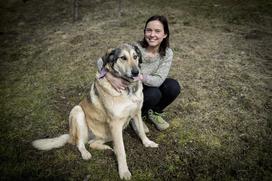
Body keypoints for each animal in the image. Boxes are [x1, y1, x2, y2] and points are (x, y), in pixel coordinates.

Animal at [32, 43, 158, 180]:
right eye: (123, 58)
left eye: (135, 56)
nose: (136, 72)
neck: (128, 89)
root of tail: (70, 135)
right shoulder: (115, 123)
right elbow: (121, 151)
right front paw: (124, 171)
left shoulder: (136, 113)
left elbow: (141, 131)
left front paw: (148, 143)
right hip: (78, 112)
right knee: (80, 143)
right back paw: (86, 154)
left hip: (107, 134)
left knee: (92, 144)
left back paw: (106, 147)